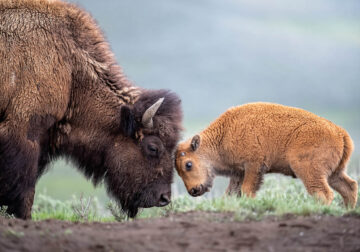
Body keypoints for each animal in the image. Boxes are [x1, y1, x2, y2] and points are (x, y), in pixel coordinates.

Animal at [175, 103, 358, 209]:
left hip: (309, 171)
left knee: (323, 193)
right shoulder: (239, 172)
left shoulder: (253, 166)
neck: (224, 134)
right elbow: (231, 193)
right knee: (349, 187)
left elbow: (247, 190)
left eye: (188, 164)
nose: (193, 190)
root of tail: (340, 132)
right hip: (335, 173)